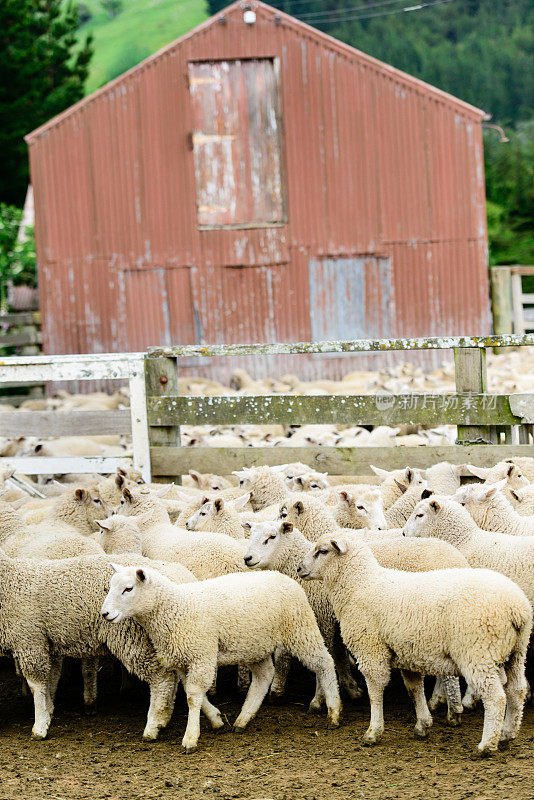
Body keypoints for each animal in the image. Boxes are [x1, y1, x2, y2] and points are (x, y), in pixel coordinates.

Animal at [101, 564, 344, 752]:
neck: (178, 607)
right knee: (264, 676)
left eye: (128, 588)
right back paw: (243, 719)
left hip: (299, 628)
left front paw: (190, 738)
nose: (104, 614)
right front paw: (216, 719)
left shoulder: (201, 655)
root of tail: (282, 575)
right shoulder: (183, 659)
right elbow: (191, 692)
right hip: (255, 644)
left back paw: (333, 711)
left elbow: (193, 697)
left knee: (324, 662)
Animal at [300, 536, 532, 752]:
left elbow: (375, 692)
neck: (360, 585)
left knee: (496, 698)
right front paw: (423, 724)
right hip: (516, 652)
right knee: (516, 690)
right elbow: (414, 689)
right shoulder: (406, 654)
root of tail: (516, 608)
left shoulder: (371, 650)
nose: (299, 568)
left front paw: (373, 732)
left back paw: (486, 746)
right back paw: (507, 734)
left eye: (322, 551)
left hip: (478, 653)